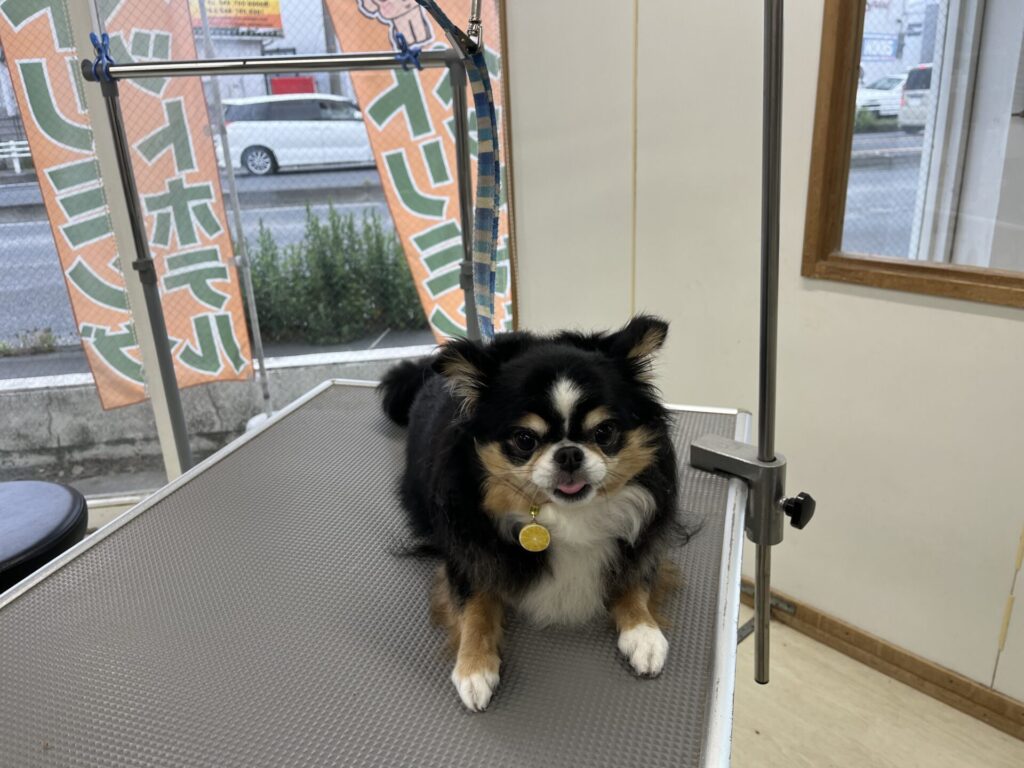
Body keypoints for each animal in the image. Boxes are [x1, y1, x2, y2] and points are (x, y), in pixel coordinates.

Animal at [379, 315, 680, 711]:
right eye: (524, 440)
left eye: (605, 432)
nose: (569, 453)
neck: (566, 516)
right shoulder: (466, 556)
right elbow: (474, 605)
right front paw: (474, 666)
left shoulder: (642, 541)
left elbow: (636, 579)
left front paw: (643, 632)